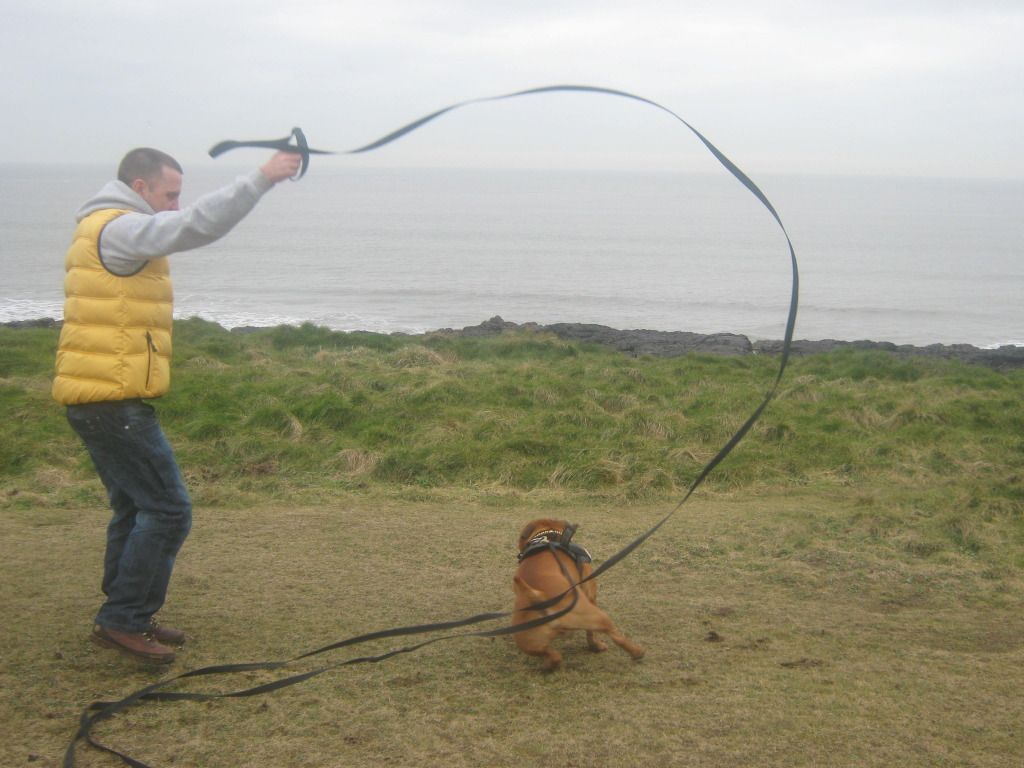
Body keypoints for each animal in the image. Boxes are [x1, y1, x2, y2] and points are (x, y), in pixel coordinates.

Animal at [512, 520, 647, 671]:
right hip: (597, 615)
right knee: (614, 635)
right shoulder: (590, 594)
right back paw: (635, 651)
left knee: (553, 655)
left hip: (527, 641)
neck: (546, 537)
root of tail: (539, 599)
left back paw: (548, 666)